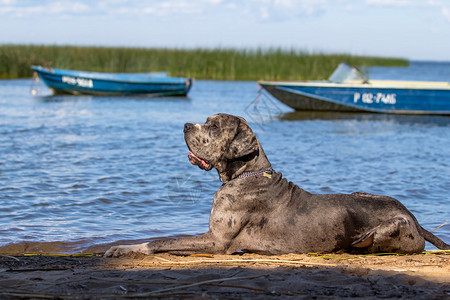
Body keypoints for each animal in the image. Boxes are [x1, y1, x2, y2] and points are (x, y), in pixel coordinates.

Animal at [104, 113, 446, 256]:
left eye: (214, 127)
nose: (186, 125)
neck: (246, 174)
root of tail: (414, 217)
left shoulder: (217, 241)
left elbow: (160, 241)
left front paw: (123, 249)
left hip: (394, 226)